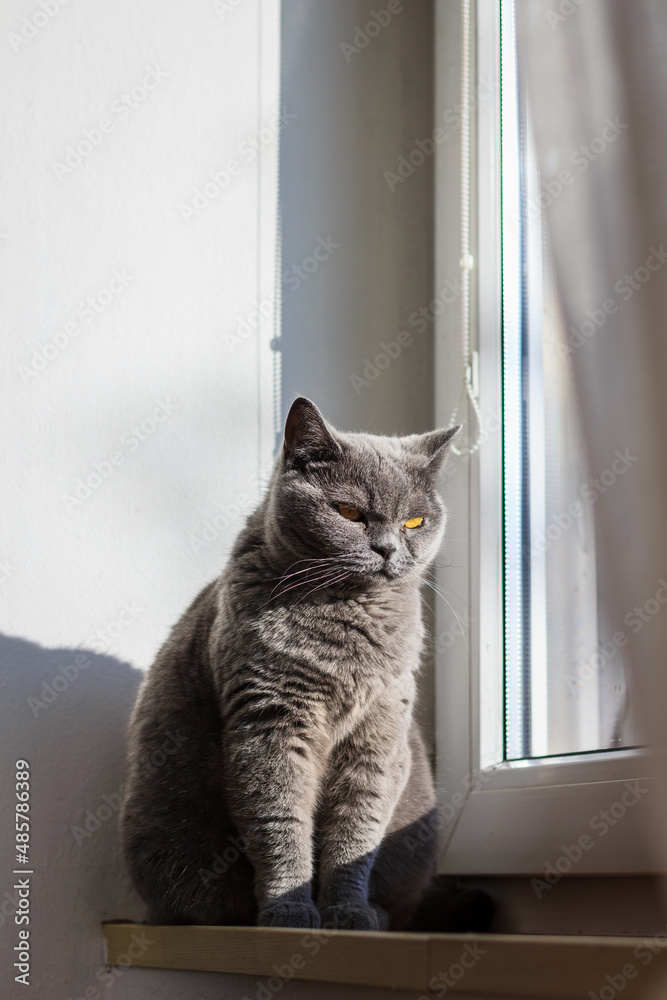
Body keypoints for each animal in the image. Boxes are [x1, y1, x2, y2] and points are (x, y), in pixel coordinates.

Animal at [122, 396, 494, 928]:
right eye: (349, 512)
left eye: (414, 522)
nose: (388, 549)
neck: (348, 621)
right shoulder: (270, 721)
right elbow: (279, 822)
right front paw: (290, 912)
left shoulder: (379, 734)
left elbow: (356, 832)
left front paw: (348, 912)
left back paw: (378, 913)